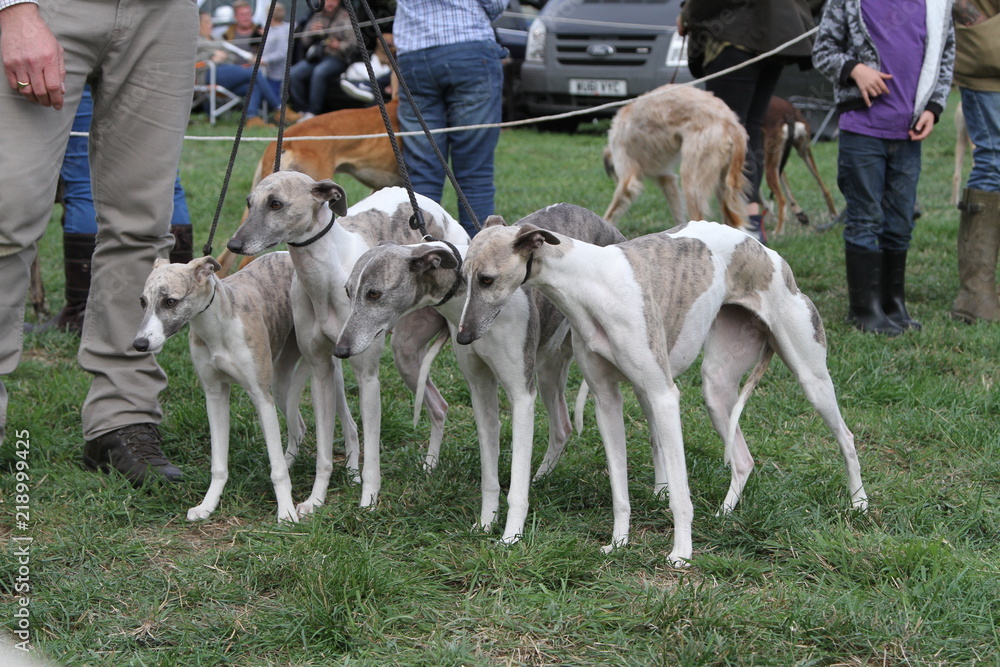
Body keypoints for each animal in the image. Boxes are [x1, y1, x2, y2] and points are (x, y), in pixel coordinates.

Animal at [133, 253, 306, 524]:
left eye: (170, 301)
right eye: (143, 301)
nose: (139, 344)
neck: (217, 328)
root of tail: (285, 253)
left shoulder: (260, 397)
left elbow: (276, 470)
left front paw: (286, 512)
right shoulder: (215, 396)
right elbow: (218, 464)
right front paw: (207, 505)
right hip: (280, 385)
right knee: (298, 426)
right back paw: (290, 460)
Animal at [229, 175, 470, 516]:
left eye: (276, 204)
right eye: (249, 203)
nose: (234, 245)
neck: (324, 278)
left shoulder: (367, 376)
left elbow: (372, 454)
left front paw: (368, 499)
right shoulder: (321, 370)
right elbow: (323, 451)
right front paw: (315, 499)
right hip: (404, 355)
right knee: (438, 406)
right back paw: (429, 466)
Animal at [336, 206, 624, 544]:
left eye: (374, 294)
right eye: (347, 291)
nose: (340, 350)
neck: (463, 300)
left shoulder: (521, 396)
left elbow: (516, 482)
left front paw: (511, 537)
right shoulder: (480, 387)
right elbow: (490, 472)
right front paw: (486, 524)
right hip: (547, 368)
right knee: (562, 426)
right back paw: (541, 477)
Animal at [458, 217, 872, 568]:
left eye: (487, 279)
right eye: (461, 278)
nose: (462, 338)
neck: (589, 284)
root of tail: (766, 252)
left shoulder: (662, 395)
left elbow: (679, 494)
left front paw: (682, 554)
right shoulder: (606, 401)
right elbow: (619, 491)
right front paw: (618, 543)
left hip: (811, 376)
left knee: (846, 437)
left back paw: (860, 505)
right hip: (716, 387)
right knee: (743, 458)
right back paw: (725, 513)